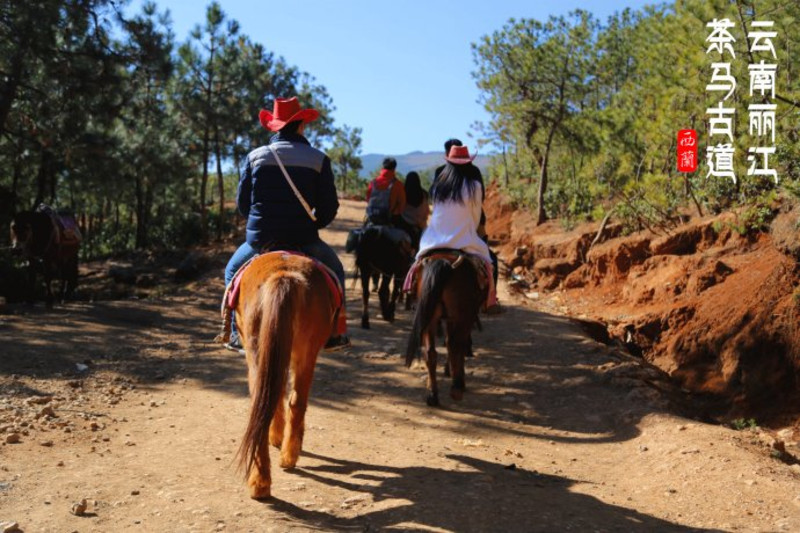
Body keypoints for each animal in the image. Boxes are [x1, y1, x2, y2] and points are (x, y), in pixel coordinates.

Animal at [404, 251, 484, 406]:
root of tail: (442, 261)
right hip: (461, 315)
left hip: (429, 314)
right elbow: (457, 345)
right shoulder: (464, 318)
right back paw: (456, 390)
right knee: (455, 345)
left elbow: (447, 343)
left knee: (430, 352)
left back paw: (432, 394)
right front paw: (458, 378)